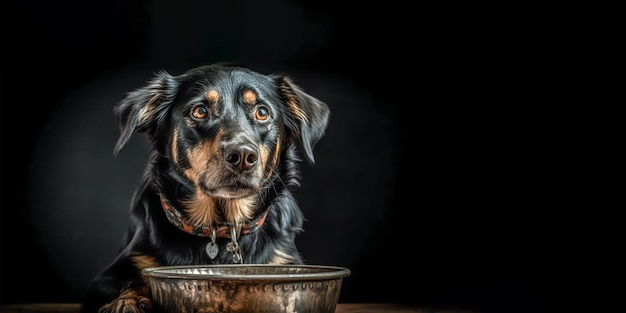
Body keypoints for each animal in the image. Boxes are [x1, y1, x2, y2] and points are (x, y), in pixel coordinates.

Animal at [80, 64, 330, 312]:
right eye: (200, 111)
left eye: (262, 112)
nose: (242, 156)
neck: (219, 230)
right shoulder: (109, 276)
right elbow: (138, 279)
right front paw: (128, 301)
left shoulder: (285, 261)